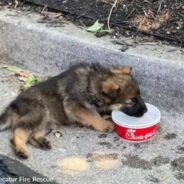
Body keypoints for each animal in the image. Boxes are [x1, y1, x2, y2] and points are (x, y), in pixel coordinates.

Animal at [0, 63, 147, 158]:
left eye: (139, 96)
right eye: (132, 100)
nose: (145, 111)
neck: (91, 84)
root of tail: (12, 106)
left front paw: (106, 116)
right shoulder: (74, 105)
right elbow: (92, 114)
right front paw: (105, 124)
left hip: (46, 120)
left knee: (32, 135)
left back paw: (42, 142)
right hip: (39, 112)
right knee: (18, 132)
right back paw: (21, 149)